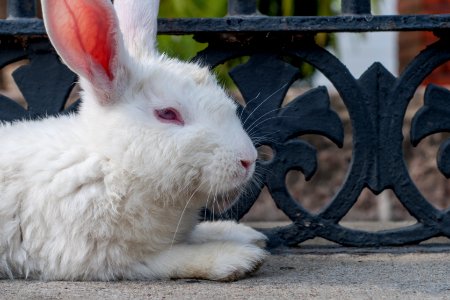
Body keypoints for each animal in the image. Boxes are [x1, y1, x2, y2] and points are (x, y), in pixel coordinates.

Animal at [0, 0, 268, 282]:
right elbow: (172, 258)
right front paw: (238, 256)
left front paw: (243, 234)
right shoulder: (103, 257)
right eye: (168, 114)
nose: (248, 160)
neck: (111, 163)